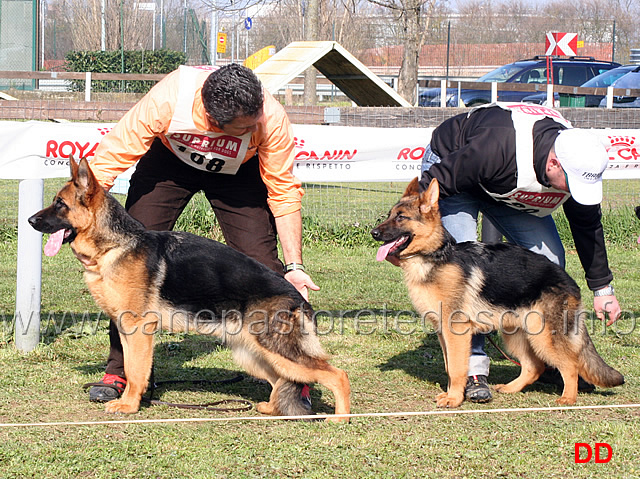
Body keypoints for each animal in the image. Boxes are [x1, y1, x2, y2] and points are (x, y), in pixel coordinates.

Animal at [28, 159, 350, 422]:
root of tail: (297, 296)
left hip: (274, 348)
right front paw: (130, 400)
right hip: (253, 353)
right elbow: (131, 368)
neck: (116, 245)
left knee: (336, 375)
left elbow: (136, 371)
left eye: (59, 204)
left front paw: (129, 406)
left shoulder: (139, 330)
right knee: (282, 380)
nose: (30, 221)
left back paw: (339, 419)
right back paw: (272, 409)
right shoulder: (126, 330)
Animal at [372, 179, 624, 408]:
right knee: (534, 366)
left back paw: (568, 398)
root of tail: (569, 280)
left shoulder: (456, 332)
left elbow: (456, 368)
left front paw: (454, 399)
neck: (434, 257)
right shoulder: (443, 332)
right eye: (390, 215)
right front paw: (453, 393)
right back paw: (512, 388)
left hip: (543, 337)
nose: (374, 233)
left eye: (401, 217)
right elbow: (449, 366)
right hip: (515, 334)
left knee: (570, 364)